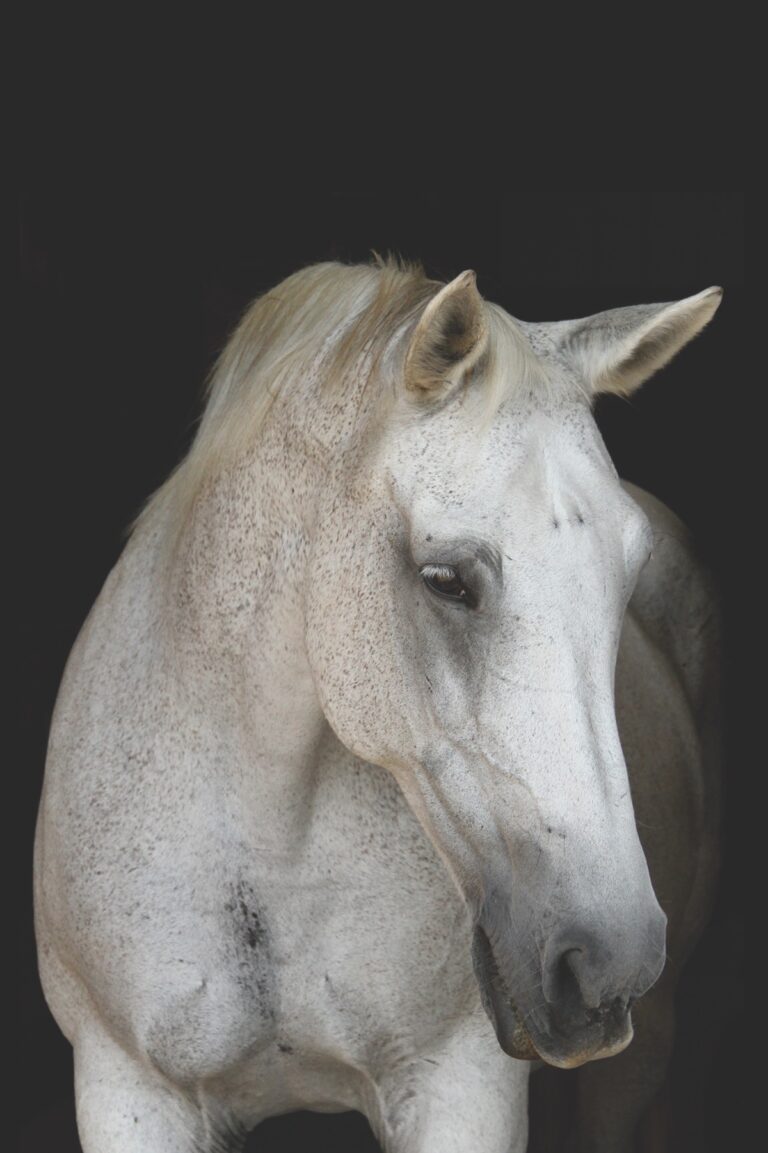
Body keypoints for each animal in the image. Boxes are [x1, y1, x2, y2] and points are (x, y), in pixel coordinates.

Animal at [34, 258, 722, 1152]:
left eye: (627, 570)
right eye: (446, 580)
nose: (611, 959)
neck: (266, 844)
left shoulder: (461, 1089)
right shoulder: (128, 1088)